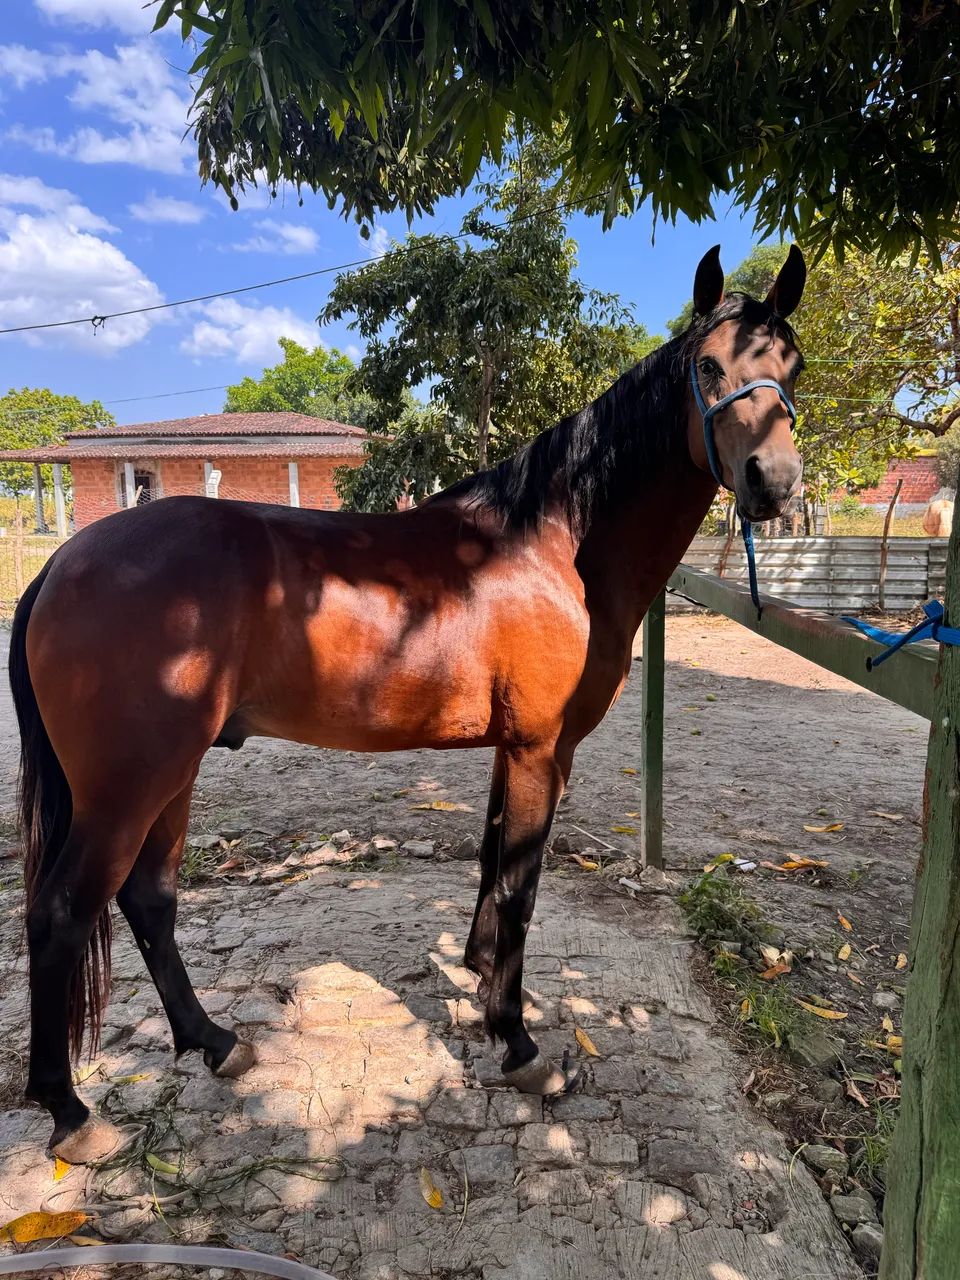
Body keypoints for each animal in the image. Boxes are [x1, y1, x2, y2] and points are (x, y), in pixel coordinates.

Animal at [10, 245, 806, 1163]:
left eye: (793, 367)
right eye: (707, 367)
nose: (774, 484)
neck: (554, 545)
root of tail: (63, 564)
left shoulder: (517, 749)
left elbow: (494, 863)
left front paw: (478, 981)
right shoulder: (540, 747)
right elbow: (521, 886)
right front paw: (519, 1043)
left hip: (169, 777)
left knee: (149, 898)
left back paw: (213, 1042)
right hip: (128, 786)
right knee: (61, 913)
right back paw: (71, 1113)